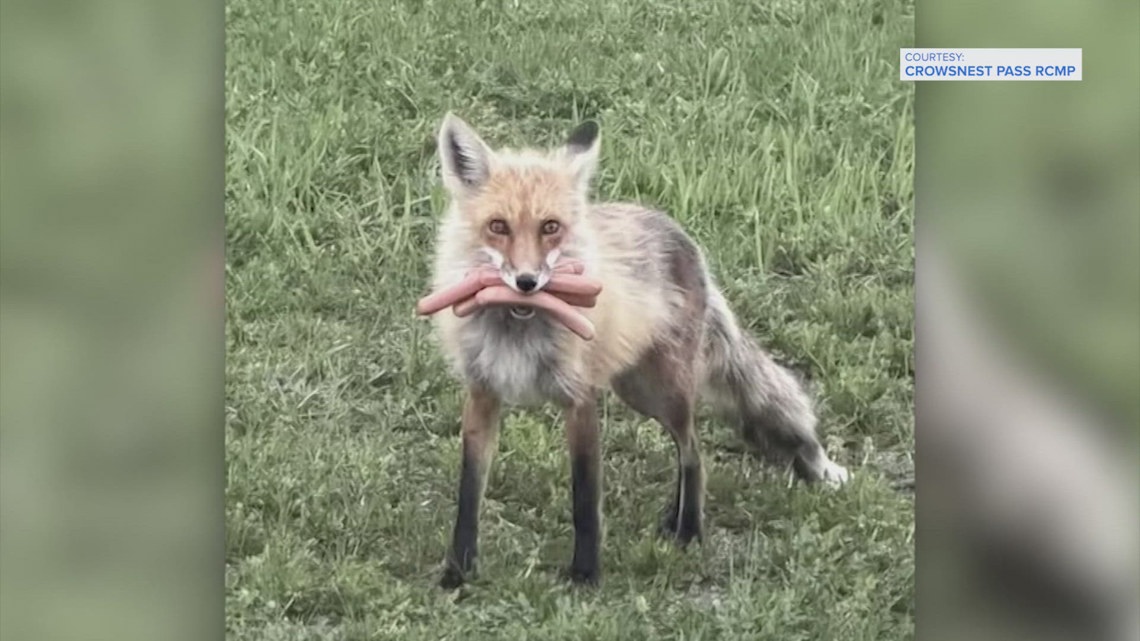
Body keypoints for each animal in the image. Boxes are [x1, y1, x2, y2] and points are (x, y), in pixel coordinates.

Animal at [427, 113, 850, 589]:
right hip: (636, 388)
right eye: (498, 226)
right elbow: (468, 493)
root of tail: (681, 234)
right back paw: (672, 519)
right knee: (688, 449)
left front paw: (585, 576)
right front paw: (457, 573)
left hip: (664, 390)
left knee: (693, 452)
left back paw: (689, 531)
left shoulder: (579, 399)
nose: (527, 282)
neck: (519, 326)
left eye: (550, 227)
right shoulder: (482, 395)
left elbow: (585, 496)